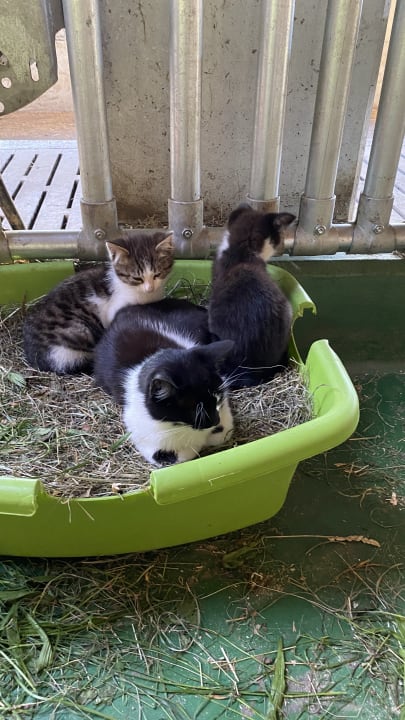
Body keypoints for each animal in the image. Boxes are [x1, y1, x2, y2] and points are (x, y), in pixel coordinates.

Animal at [23, 230, 175, 374]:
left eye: (157, 274)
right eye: (137, 278)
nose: (150, 288)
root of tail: (38, 357)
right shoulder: (113, 312)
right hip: (80, 330)